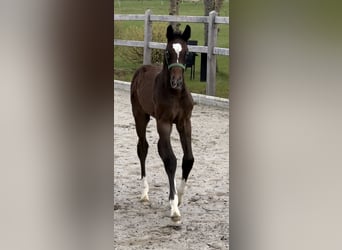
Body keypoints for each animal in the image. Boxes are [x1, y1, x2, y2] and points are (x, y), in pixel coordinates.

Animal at [131, 24, 194, 221]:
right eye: (167, 52)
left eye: (187, 52)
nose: (176, 82)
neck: (175, 94)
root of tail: (142, 68)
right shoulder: (164, 123)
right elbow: (171, 161)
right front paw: (174, 207)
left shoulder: (184, 121)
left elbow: (188, 159)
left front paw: (179, 197)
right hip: (140, 116)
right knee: (143, 147)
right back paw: (144, 192)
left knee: (160, 148)